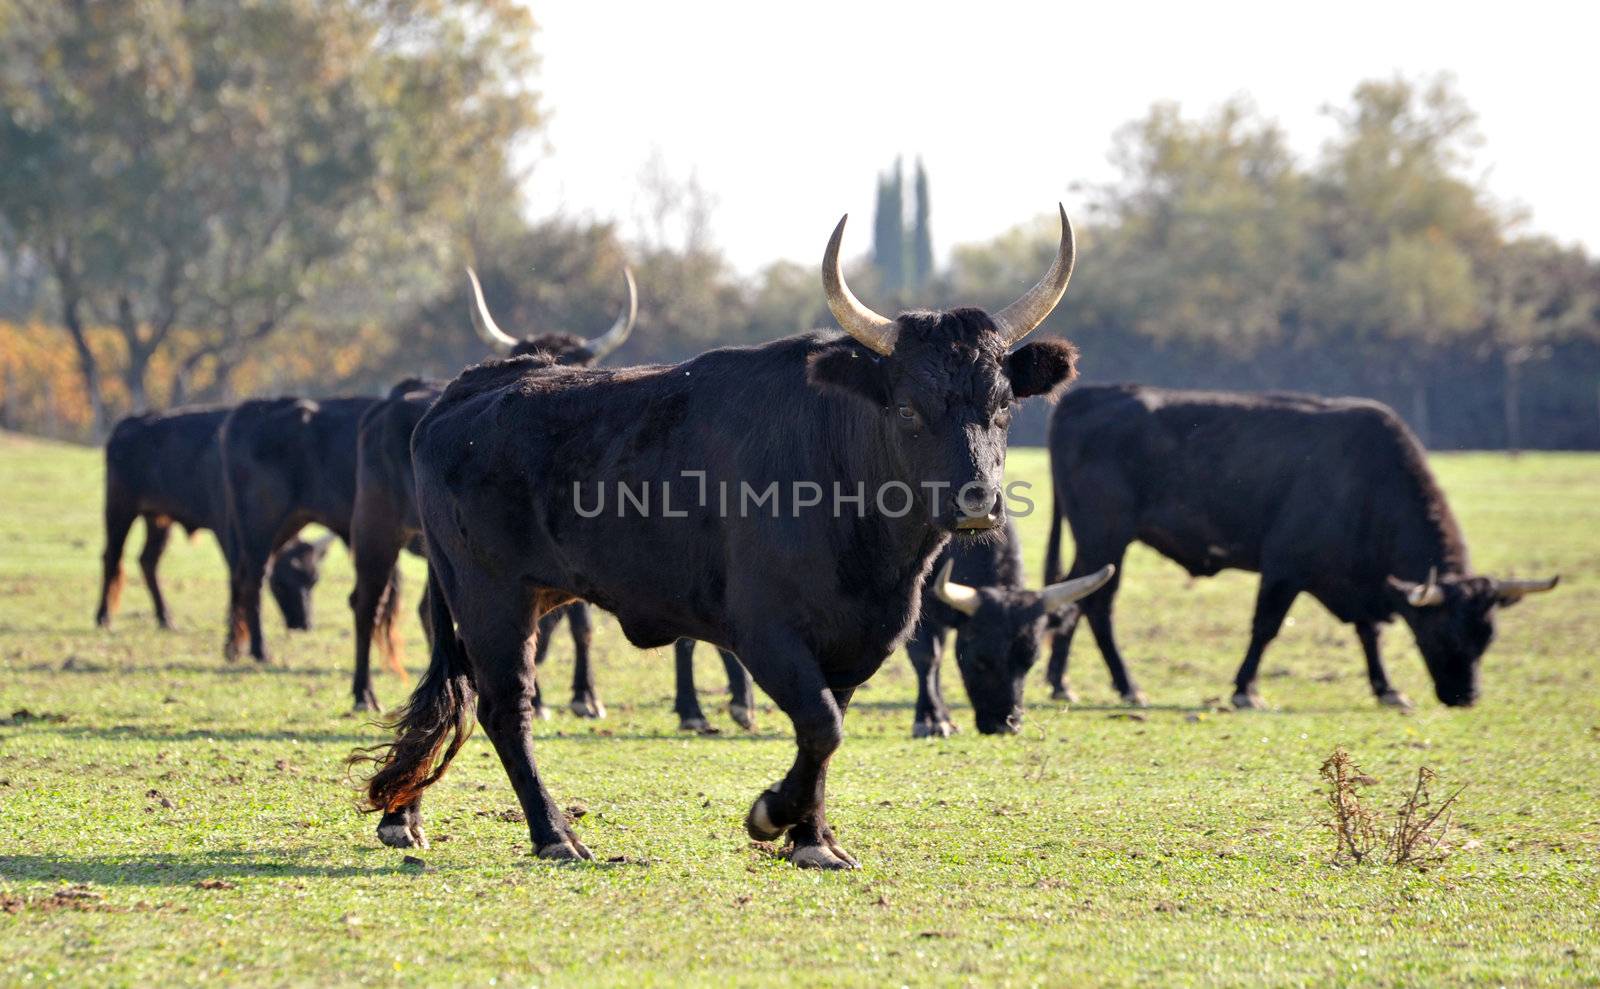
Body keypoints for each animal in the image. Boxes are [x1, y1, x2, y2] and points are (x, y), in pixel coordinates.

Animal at [94, 408, 331, 630]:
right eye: (281, 582)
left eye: (314, 580)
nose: (304, 624)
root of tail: (129, 423)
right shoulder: (226, 530)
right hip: (119, 509)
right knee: (111, 557)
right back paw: (103, 617)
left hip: (159, 519)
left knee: (147, 560)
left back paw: (165, 618)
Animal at [1043, 379, 1555, 707]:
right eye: (1443, 633)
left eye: (1487, 637)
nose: (1466, 697)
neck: (1369, 482)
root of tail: (1085, 396)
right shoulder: (1284, 567)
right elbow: (1265, 628)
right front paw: (1245, 690)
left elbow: (1369, 632)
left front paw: (1386, 688)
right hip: (1106, 537)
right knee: (1093, 603)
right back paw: (1122, 685)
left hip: (1097, 542)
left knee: (1075, 595)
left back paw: (1061, 680)